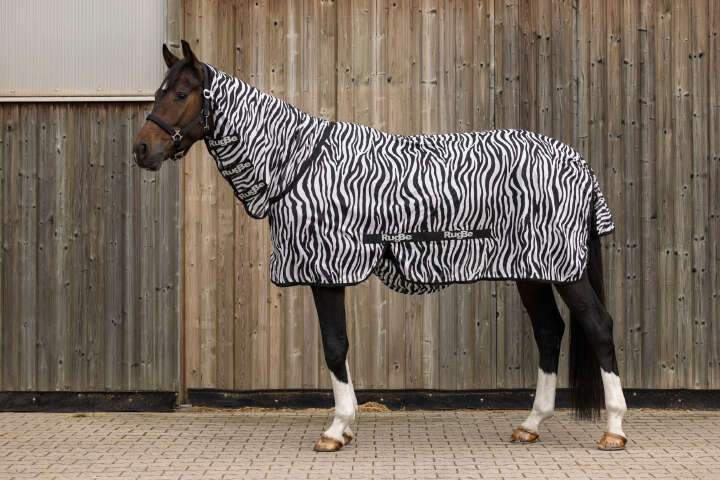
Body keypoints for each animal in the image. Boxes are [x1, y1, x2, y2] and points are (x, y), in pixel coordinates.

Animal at [134, 40, 628, 451]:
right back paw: (530, 424)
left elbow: (335, 346)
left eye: (181, 94)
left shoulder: (327, 270)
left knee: (599, 326)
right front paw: (346, 425)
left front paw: (337, 429)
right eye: (158, 92)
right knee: (549, 332)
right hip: (533, 270)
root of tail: (578, 163)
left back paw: (614, 429)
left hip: (563, 267)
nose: (142, 150)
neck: (297, 163)